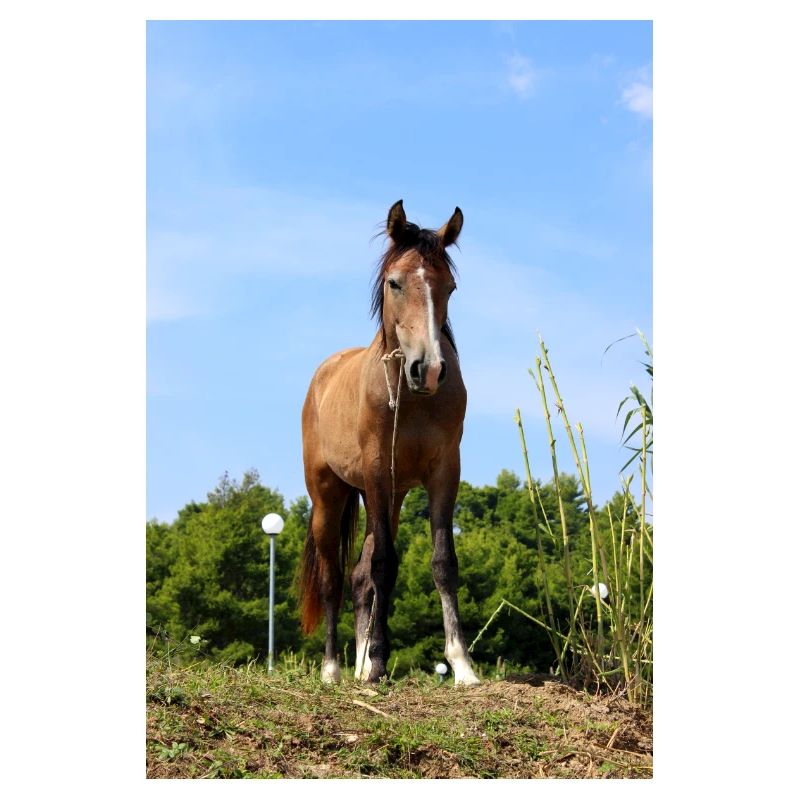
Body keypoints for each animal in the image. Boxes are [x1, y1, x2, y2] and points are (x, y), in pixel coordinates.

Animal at [298, 199, 480, 686]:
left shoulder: (443, 473)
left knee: (359, 577)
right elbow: (384, 564)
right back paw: (333, 669)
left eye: (450, 287)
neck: (412, 399)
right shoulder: (378, 473)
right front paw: (379, 661)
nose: (429, 369)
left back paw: (359, 664)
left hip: (390, 497)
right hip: (330, 497)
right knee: (334, 579)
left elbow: (442, 563)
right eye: (395, 282)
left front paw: (461, 664)